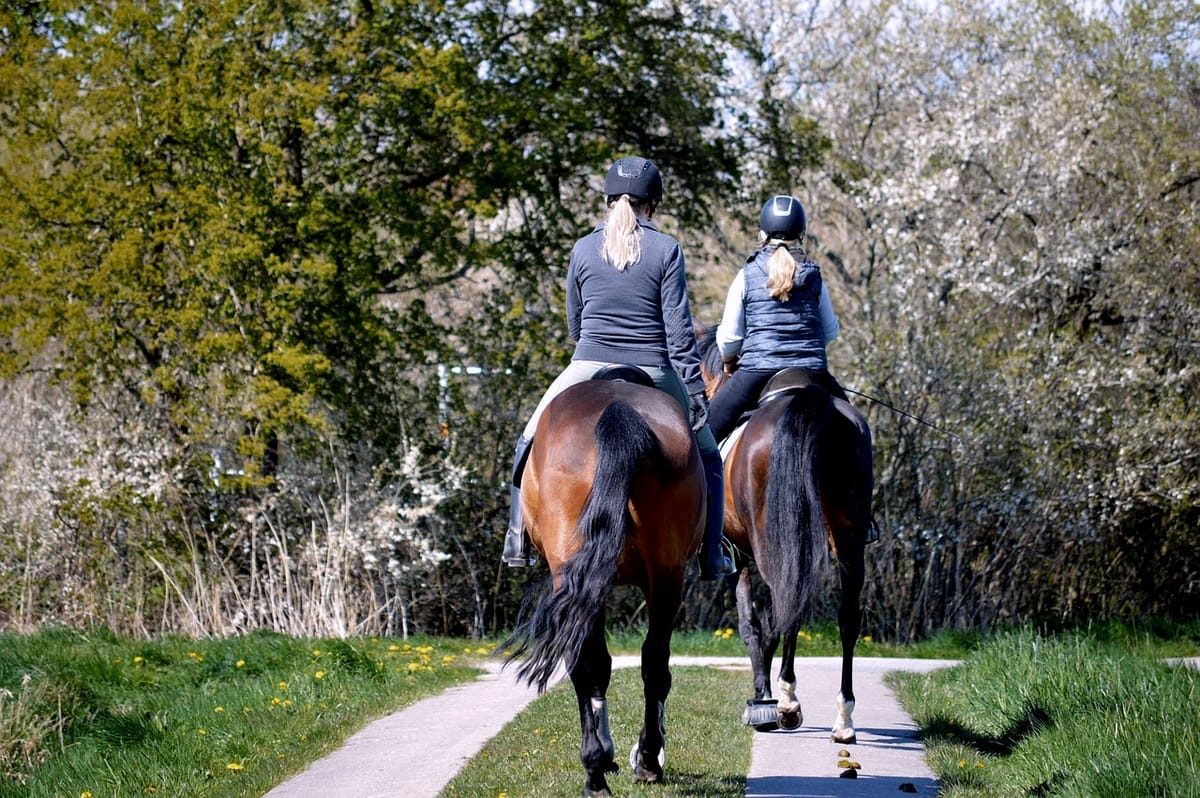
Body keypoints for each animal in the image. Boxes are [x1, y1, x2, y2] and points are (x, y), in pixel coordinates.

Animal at [499, 374, 706, 797]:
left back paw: (603, 769)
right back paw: (642, 761)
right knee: (652, 662)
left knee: (590, 661)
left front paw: (606, 753)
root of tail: (617, 411)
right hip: (666, 575)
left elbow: (597, 665)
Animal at [697, 326, 873, 742]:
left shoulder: (742, 558)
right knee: (842, 615)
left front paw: (763, 698)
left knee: (781, 607)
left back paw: (782, 703)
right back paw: (842, 719)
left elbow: (751, 624)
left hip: (770, 543)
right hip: (846, 536)